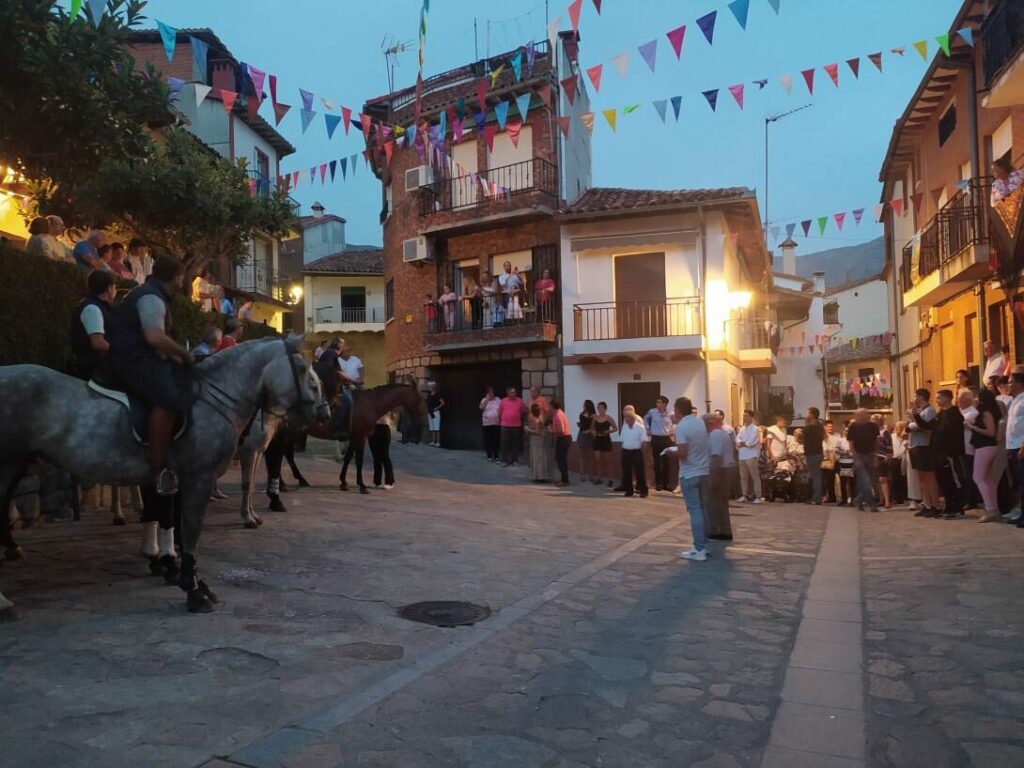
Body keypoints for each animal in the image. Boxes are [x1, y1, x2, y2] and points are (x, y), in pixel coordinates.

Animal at [0, 335, 323, 614]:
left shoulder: (172, 477)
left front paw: (173, 567)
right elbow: (190, 530)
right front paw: (192, 588)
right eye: (304, 369)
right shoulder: (200, 477)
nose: (323, 413)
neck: (212, 398)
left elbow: (169, 517)